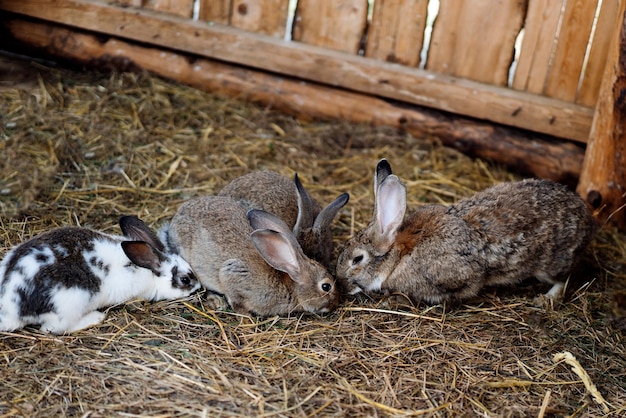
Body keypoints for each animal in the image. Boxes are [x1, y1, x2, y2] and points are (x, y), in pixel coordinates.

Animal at [0, 217, 199, 334]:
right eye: (185, 279)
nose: (198, 288)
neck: (149, 272)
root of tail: (12, 309)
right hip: (70, 304)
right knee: (51, 329)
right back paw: (95, 318)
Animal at [336, 158, 596, 306]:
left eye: (357, 259)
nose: (341, 285)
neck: (401, 254)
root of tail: (587, 218)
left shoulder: (461, 276)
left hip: (550, 264)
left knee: (563, 280)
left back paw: (545, 299)